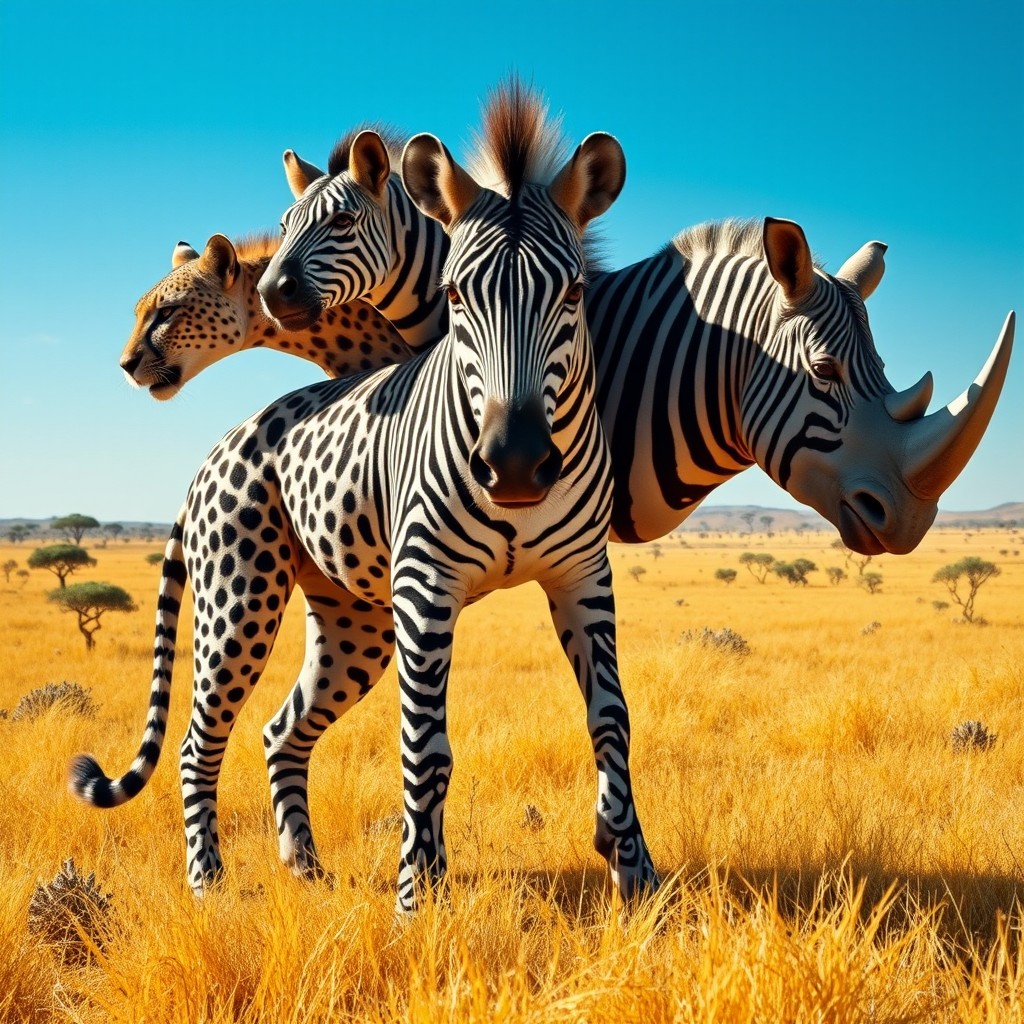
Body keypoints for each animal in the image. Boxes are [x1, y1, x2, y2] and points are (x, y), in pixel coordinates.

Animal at [71, 89, 660, 913]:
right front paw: (417, 896)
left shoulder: (583, 577)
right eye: (456, 295)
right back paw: (209, 885)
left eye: (574, 293)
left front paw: (632, 871)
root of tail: (216, 451)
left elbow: (612, 720)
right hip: (241, 602)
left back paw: (304, 866)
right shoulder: (426, 589)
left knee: (279, 730)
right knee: (197, 743)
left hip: (352, 625)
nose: (514, 464)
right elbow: (425, 750)